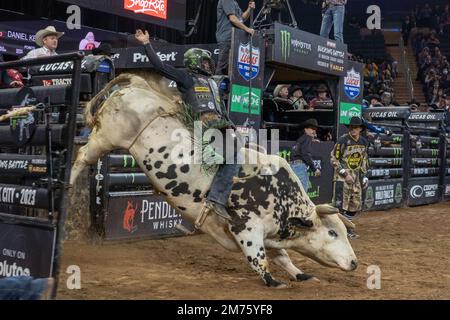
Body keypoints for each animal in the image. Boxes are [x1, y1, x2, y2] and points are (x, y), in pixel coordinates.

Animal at [70, 72, 358, 288]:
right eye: (332, 232)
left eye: (344, 232)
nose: (355, 262)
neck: (280, 196)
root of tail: (139, 85)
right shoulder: (247, 228)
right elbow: (259, 258)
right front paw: (273, 281)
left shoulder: (271, 234)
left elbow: (283, 256)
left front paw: (302, 274)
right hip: (106, 137)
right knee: (82, 155)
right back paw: (68, 186)